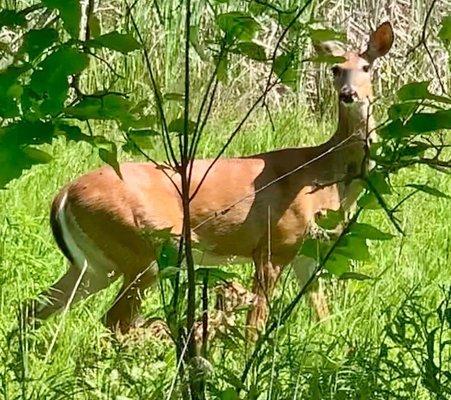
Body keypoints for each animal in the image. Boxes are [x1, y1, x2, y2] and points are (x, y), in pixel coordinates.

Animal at [29, 21, 396, 334]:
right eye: (335, 69)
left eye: (367, 68)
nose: (348, 94)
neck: (325, 177)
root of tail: (63, 194)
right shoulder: (273, 244)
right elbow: (255, 321)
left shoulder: (306, 252)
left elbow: (323, 315)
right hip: (140, 244)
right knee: (114, 318)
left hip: (95, 263)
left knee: (36, 307)